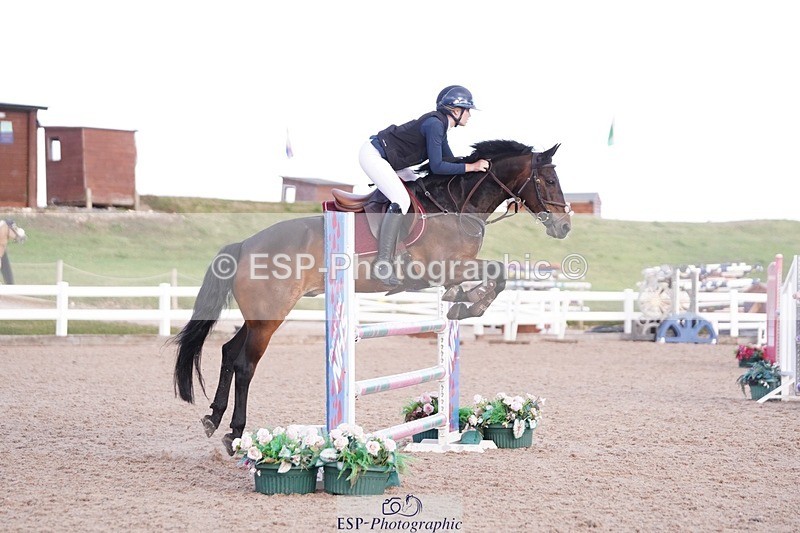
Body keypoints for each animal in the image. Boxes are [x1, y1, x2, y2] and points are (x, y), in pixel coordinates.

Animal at [172, 139, 572, 453]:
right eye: (550, 180)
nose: (564, 227)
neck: (456, 204)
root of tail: (244, 245)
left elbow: (494, 277)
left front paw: (460, 302)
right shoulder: (441, 268)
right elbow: (498, 273)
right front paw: (464, 306)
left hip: (261, 315)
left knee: (228, 352)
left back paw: (213, 419)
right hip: (271, 315)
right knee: (245, 364)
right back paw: (234, 433)